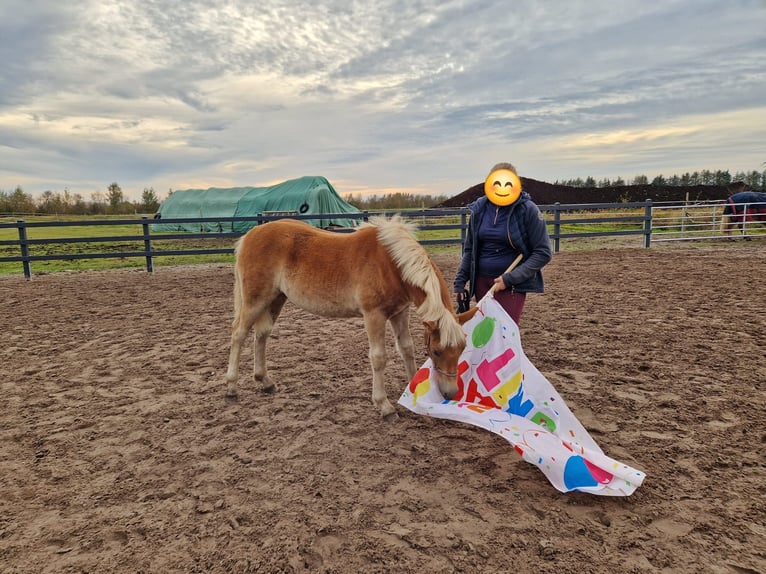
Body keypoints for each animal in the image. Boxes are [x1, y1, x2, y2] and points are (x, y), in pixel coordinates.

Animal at [222, 215, 476, 418]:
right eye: (436, 351)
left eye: (461, 349)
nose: (450, 392)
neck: (391, 263)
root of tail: (249, 235)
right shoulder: (374, 315)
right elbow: (379, 357)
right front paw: (384, 405)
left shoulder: (399, 312)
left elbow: (406, 348)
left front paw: (413, 392)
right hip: (255, 300)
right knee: (239, 334)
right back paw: (231, 386)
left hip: (275, 299)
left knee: (262, 334)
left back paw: (264, 381)